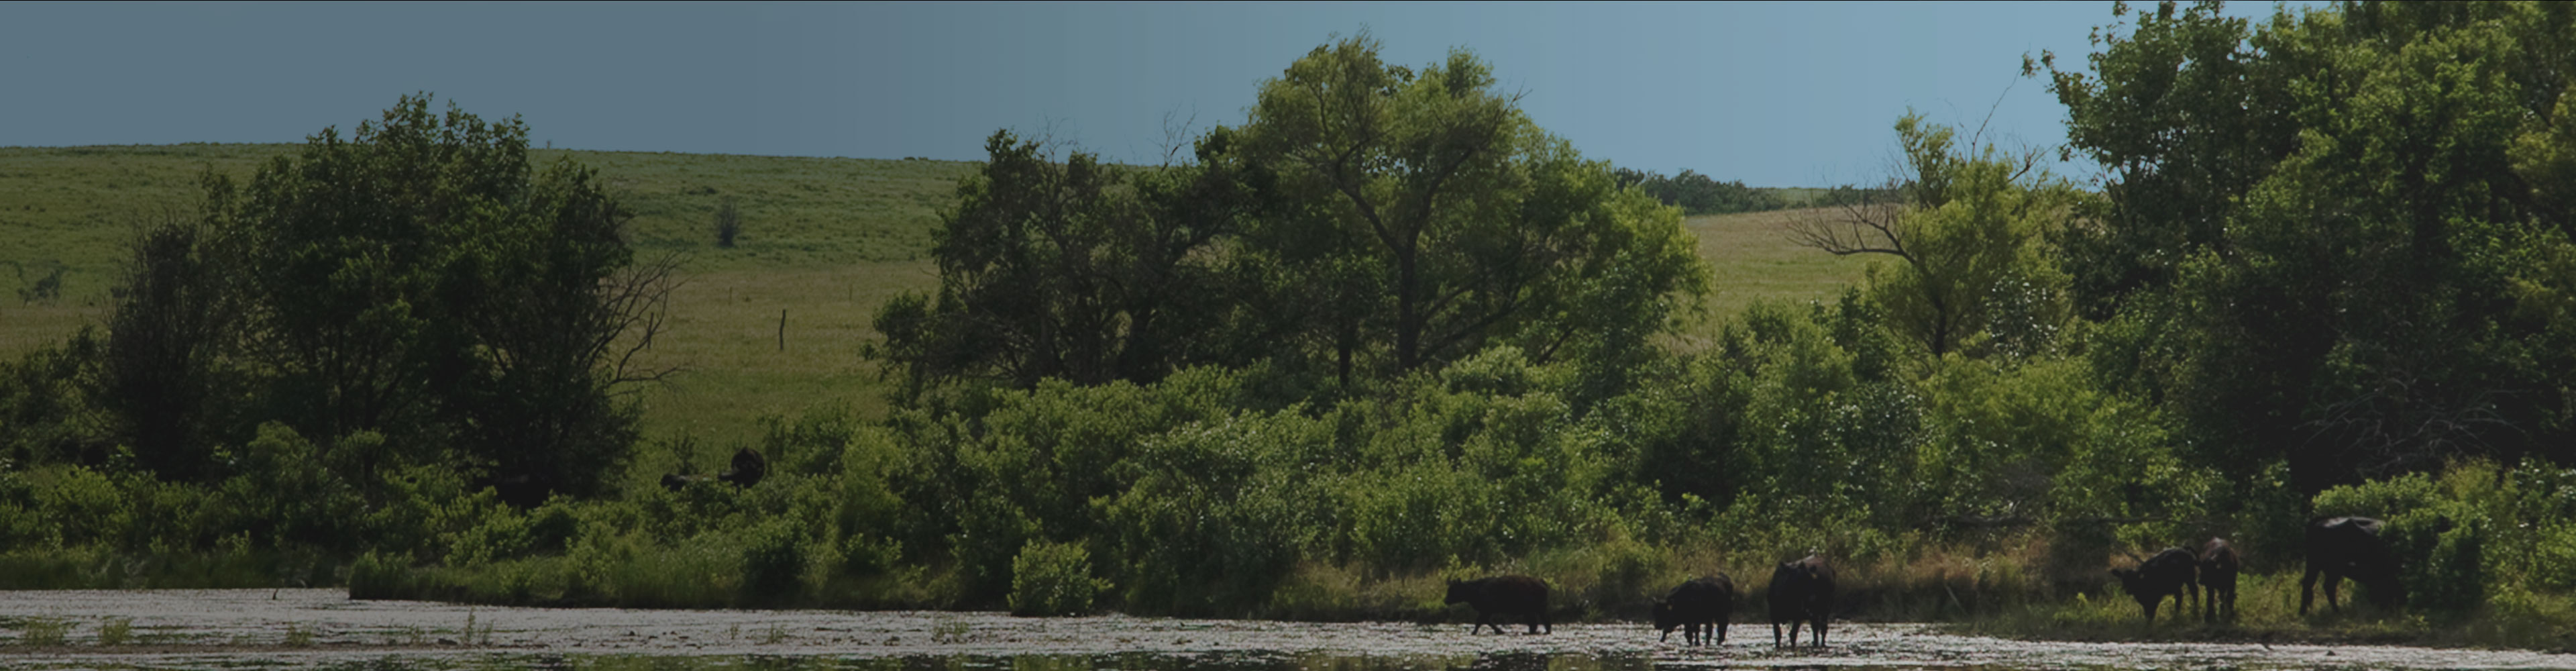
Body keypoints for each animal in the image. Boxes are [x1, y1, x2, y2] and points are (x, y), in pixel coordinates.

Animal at [1445, 575, 1551, 634]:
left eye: (1453, 589)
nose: (1446, 600)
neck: (1476, 588)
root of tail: (1541, 582)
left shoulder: (1487, 610)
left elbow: (1481, 621)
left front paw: (1474, 632)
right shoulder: (1486, 611)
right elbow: (1485, 621)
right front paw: (1499, 631)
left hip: (1534, 610)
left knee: (1540, 622)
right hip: (1533, 611)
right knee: (1537, 623)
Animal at [1767, 555, 1835, 647]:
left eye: (1812, 579)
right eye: (1797, 580)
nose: (1813, 597)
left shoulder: (1798, 615)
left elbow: (1793, 635)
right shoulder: (1774, 614)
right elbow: (1777, 635)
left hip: (1826, 607)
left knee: (1823, 627)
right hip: (1815, 612)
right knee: (1815, 627)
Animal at [2110, 547, 2198, 625]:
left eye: (2135, 579)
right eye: (2123, 580)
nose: (2128, 591)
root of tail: (2183, 550)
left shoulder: (2156, 598)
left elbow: (2151, 613)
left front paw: (2148, 626)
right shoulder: (2145, 603)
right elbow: (2147, 614)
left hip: (2190, 578)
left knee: (2194, 592)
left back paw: (2195, 614)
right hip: (2175, 586)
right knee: (2180, 595)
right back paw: (2176, 617)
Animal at [2301, 516, 2404, 614]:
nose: (2398, 605)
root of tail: (2321, 520)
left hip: (2318, 567)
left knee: (2314, 584)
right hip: (2327, 568)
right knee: (2320, 586)